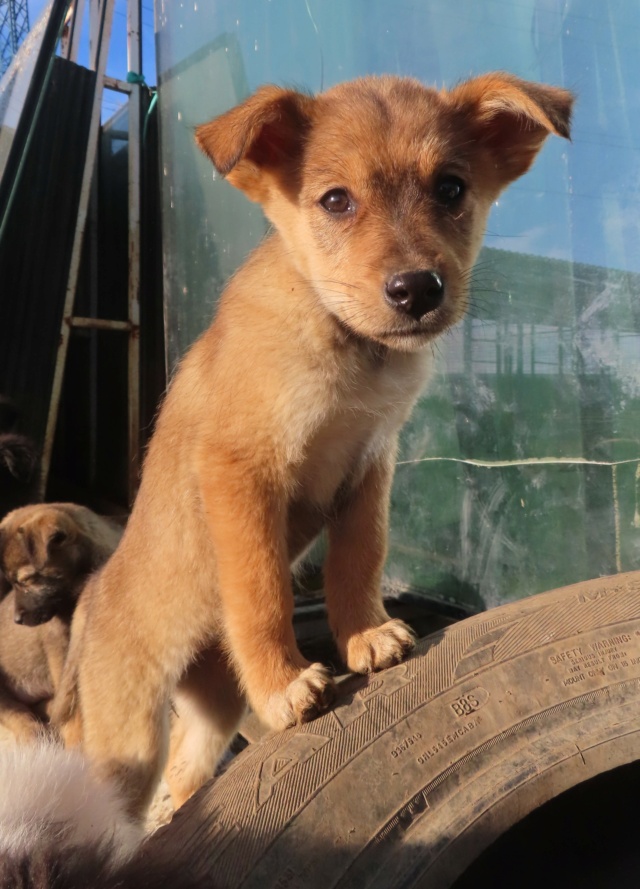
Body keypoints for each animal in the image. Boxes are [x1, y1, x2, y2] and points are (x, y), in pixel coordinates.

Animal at [62, 76, 572, 820]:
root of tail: (84, 604)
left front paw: (365, 635)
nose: (417, 290)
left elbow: (358, 560)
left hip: (212, 708)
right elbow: (262, 587)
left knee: (183, 781)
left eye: (451, 188)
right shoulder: (240, 469)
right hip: (126, 742)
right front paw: (284, 680)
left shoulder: (369, 462)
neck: (345, 342)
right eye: (335, 200)